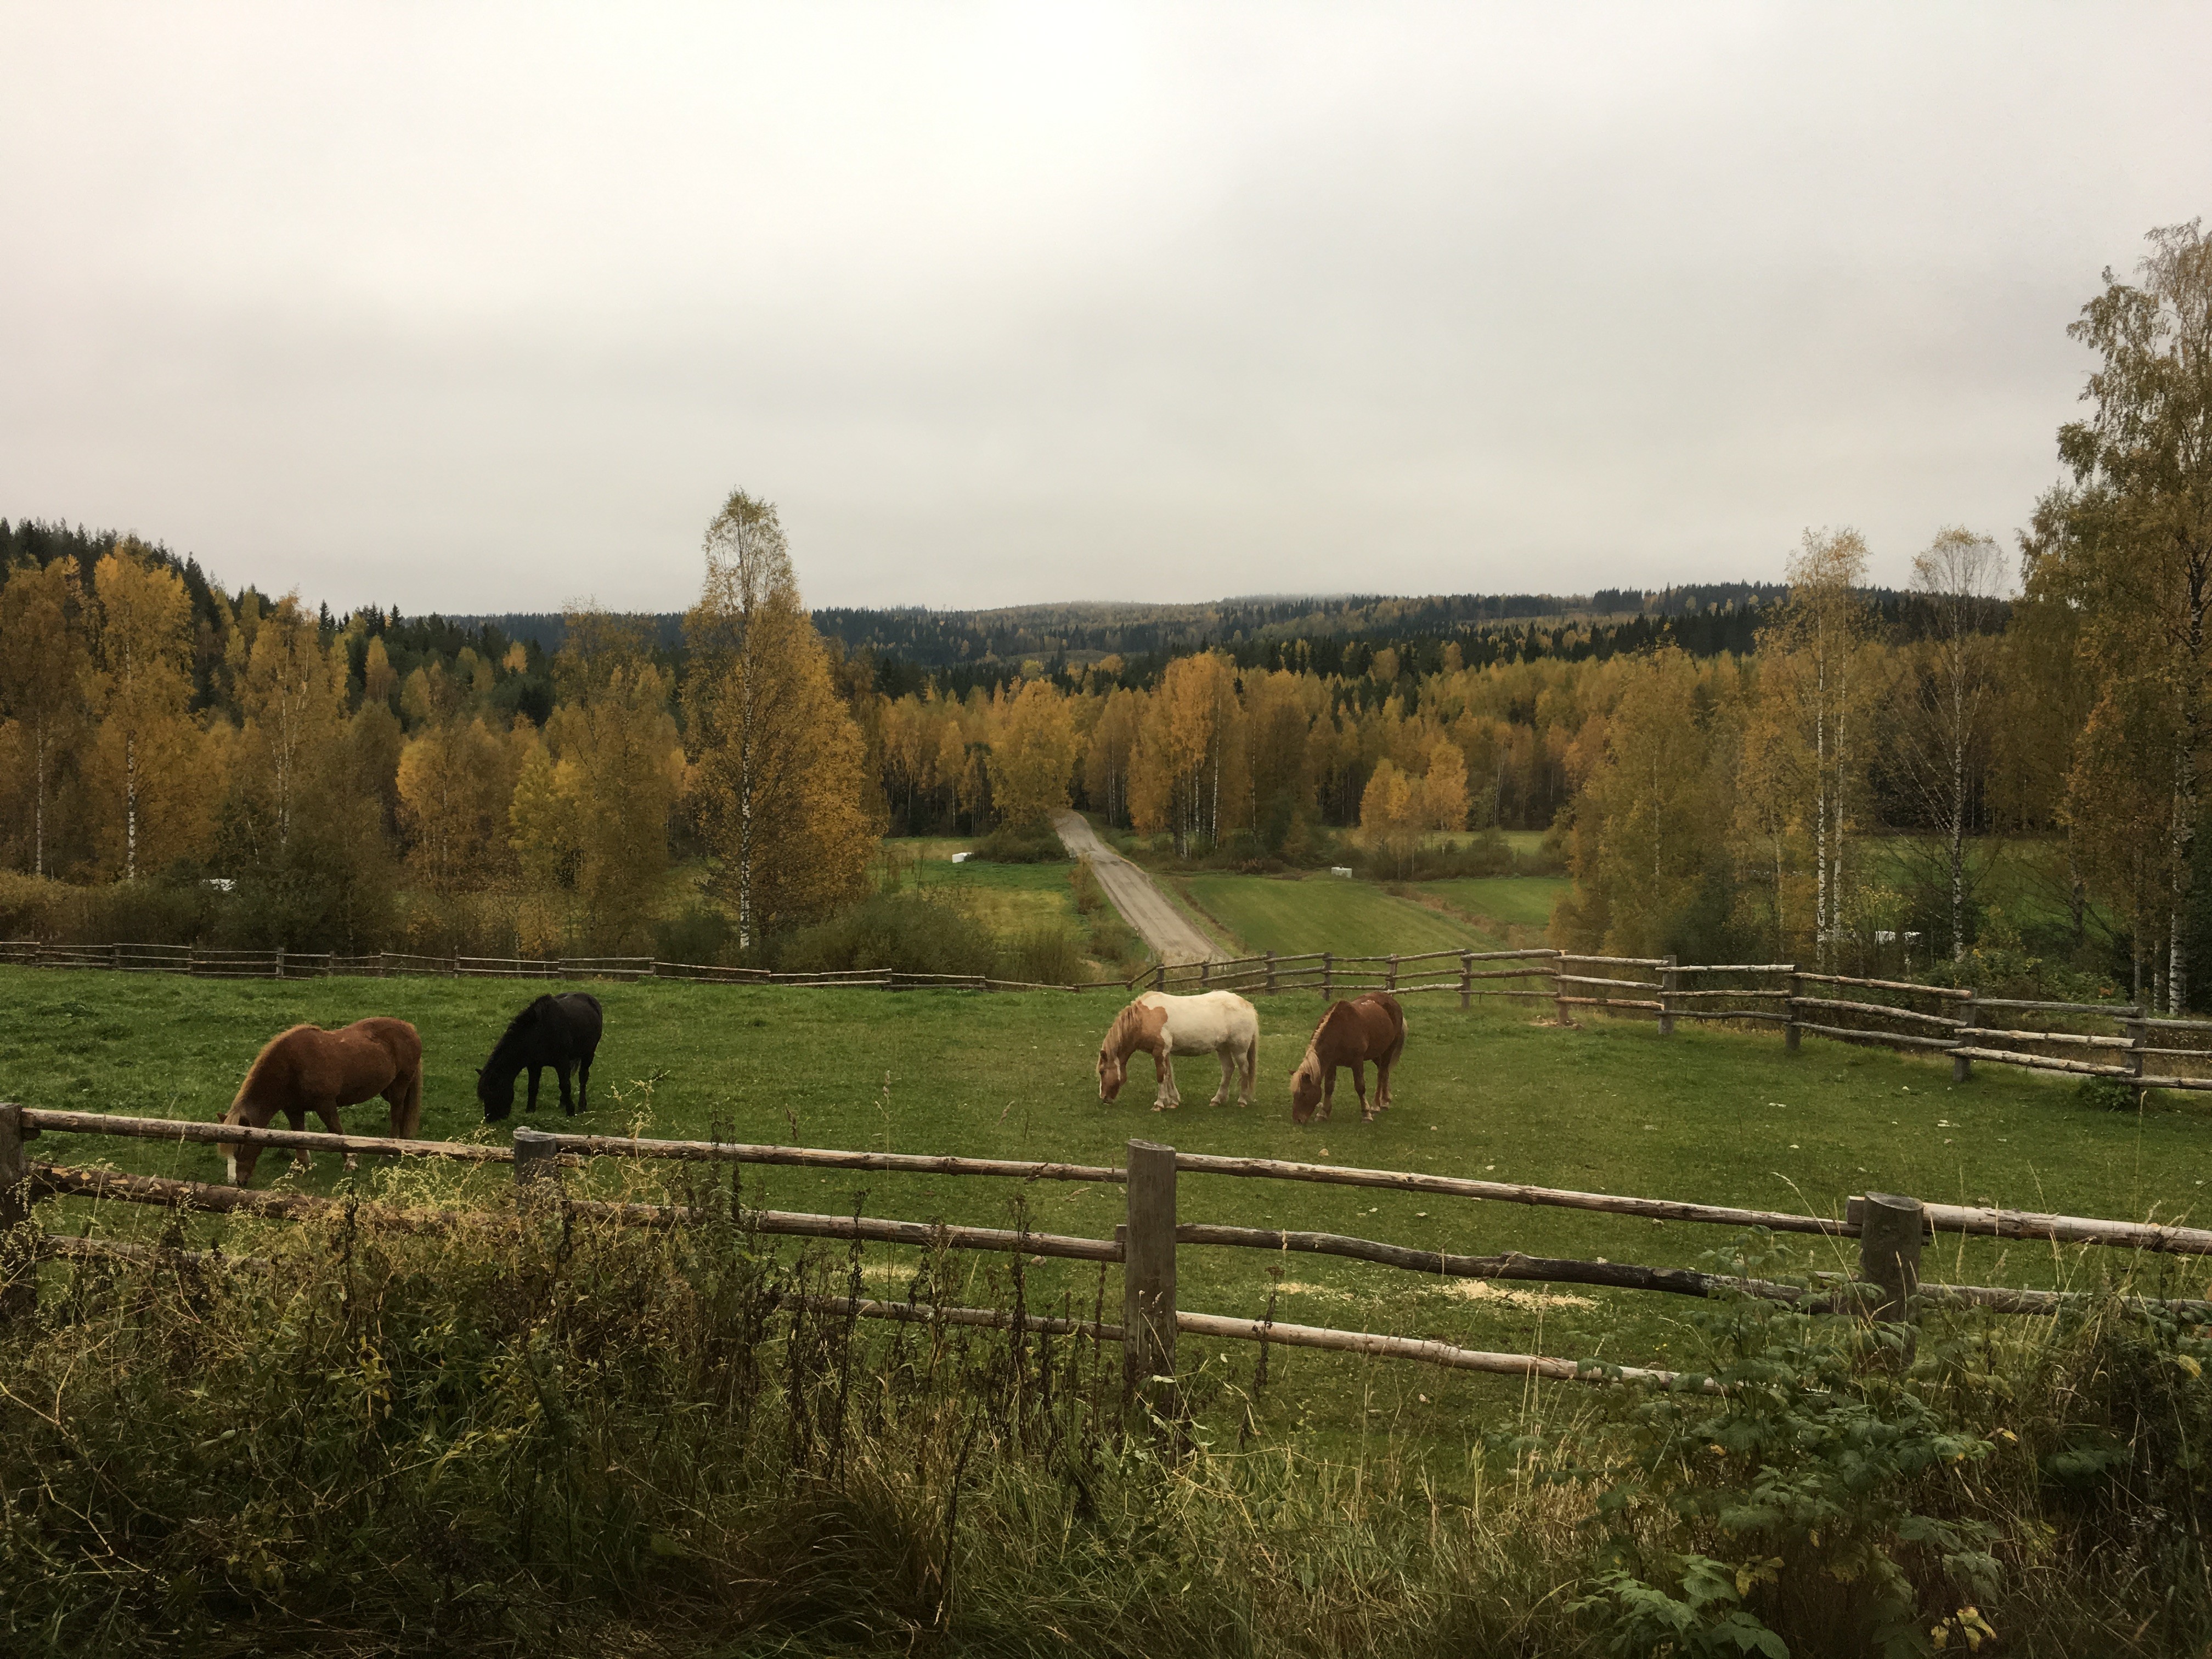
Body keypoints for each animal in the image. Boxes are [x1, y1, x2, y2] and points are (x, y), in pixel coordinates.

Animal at [223, 1022, 427, 1186]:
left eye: (240, 1147)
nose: (237, 1182)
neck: (291, 1066)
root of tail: (410, 1028)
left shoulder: (326, 1105)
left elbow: (336, 1131)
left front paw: (350, 1163)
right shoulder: (293, 1109)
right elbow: (298, 1134)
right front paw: (302, 1166)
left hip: (399, 1086)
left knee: (396, 1115)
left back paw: (387, 1154)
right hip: (388, 1089)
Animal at [479, 995, 606, 1124]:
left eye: (494, 1093)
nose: (490, 1119)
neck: (540, 1033)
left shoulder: (561, 1062)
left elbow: (565, 1086)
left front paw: (571, 1112)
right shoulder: (534, 1065)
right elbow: (533, 1087)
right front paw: (530, 1111)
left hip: (589, 1054)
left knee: (583, 1078)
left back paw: (582, 1106)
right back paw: (563, 1102)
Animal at [1092, 995, 1256, 1110]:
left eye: (1102, 1071)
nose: (1104, 1098)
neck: (1145, 1018)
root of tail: (1248, 1006)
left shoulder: (1160, 1052)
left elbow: (1161, 1076)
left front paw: (1159, 1104)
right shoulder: (1165, 1053)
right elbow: (1169, 1076)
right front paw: (1173, 1102)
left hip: (1240, 1050)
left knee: (1244, 1071)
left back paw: (1242, 1101)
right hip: (1223, 1048)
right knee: (1228, 1069)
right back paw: (1217, 1100)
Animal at [1291, 986, 1407, 1132]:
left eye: (1304, 1094)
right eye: (1294, 1094)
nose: (1297, 1120)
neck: (1340, 1031)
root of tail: (1392, 1001)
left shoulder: (1357, 1062)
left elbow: (1360, 1087)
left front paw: (1366, 1115)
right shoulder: (1331, 1064)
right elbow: (1329, 1087)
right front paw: (1323, 1114)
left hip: (1389, 1049)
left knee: (1381, 1073)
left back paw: (1377, 1105)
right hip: (1376, 1054)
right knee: (1385, 1072)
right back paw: (1386, 1100)